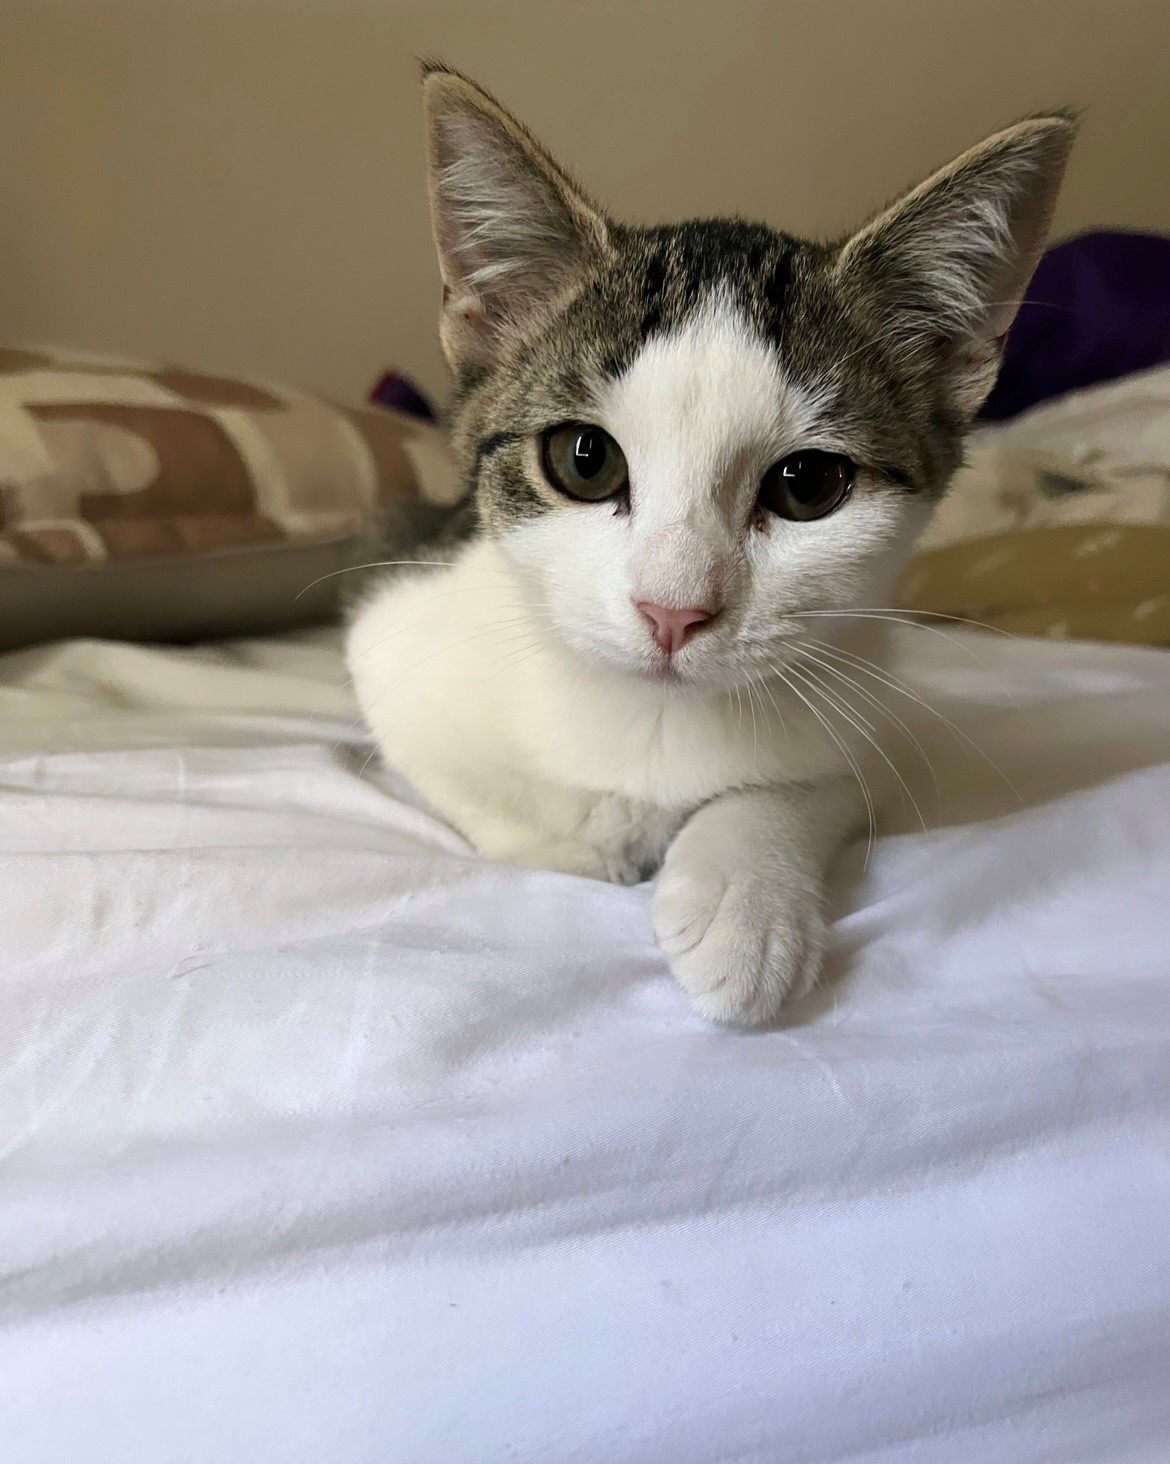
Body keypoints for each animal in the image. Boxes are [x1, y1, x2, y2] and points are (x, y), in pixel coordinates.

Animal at [347, 64, 1075, 1025]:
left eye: (807, 485)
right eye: (583, 459)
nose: (673, 611)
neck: (655, 726)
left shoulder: (871, 704)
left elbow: (812, 781)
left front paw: (744, 899)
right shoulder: (392, 640)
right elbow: (499, 807)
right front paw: (601, 838)